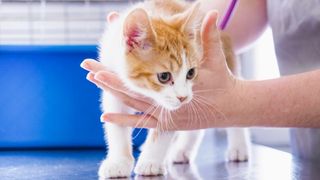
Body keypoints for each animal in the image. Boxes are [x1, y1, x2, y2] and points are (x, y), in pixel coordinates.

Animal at [97, 0, 250, 178]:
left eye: (190, 73)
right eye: (164, 76)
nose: (183, 98)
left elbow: (166, 125)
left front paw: (150, 162)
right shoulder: (113, 85)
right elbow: (116, 124)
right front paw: (118, 161)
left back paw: (238, 148)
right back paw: (182, 151)